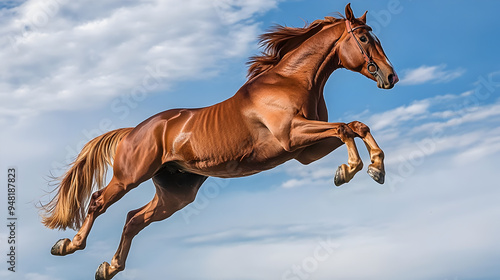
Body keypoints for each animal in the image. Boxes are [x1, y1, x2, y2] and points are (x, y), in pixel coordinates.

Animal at [42, 4, 398, 280]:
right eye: (364, 38)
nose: (390, 77)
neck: (291, 80)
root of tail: (134, 131)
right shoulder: (292, 135)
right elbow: (345, 128)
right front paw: (351, 169)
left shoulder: (306, 150)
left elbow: (356, 126)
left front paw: (373, 169)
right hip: (130, 176)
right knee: (98, 202)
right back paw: (68, 245)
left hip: (176, 194)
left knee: (133, 219)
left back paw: (109, 267)